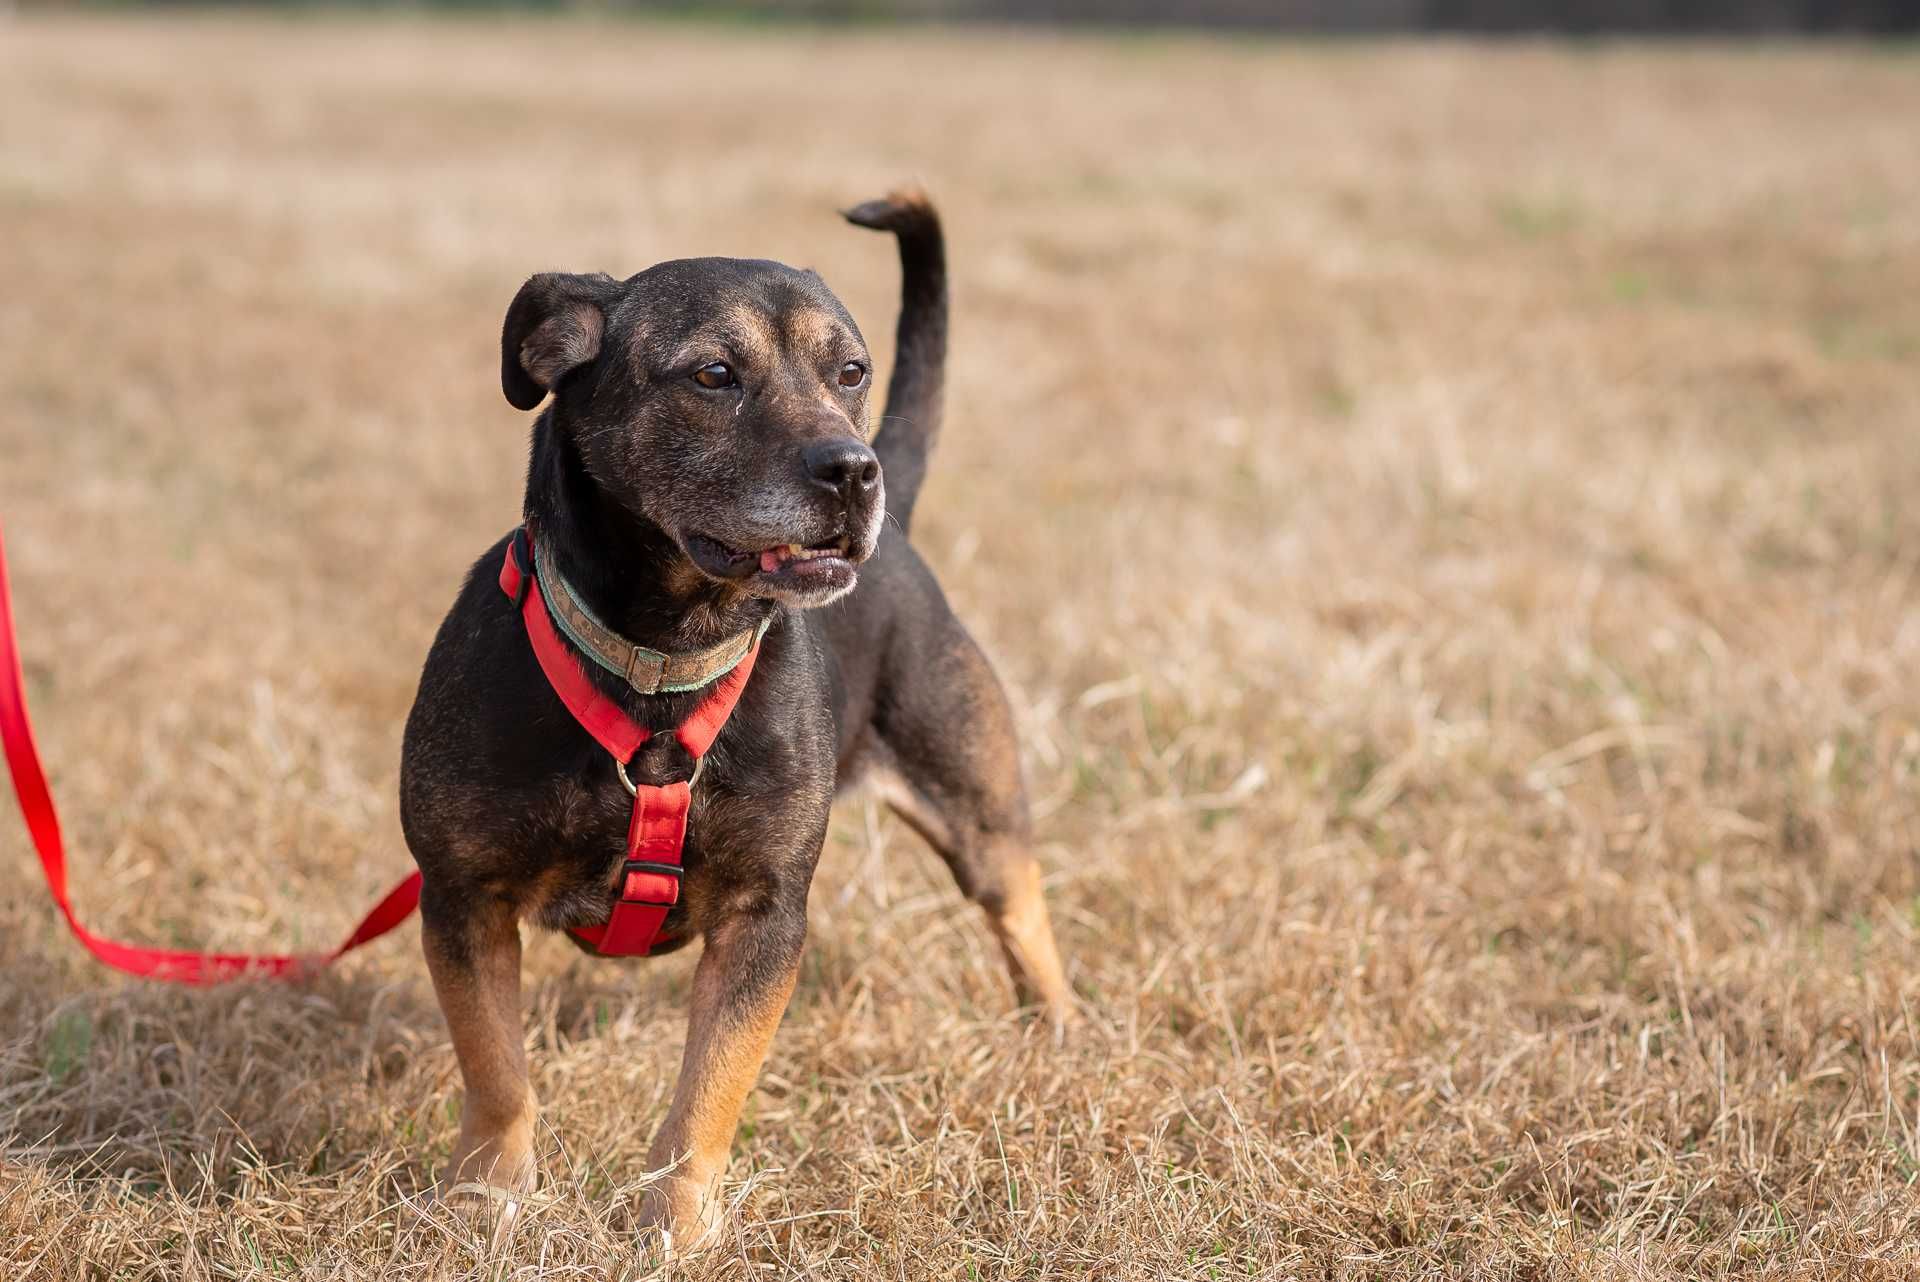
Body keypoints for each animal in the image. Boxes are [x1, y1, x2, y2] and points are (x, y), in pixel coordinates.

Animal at [397, 189, 1075, 1243]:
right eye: (714, 375)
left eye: (852, 372)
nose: (856, 471)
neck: (661, 662)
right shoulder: (465, 898)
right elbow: (498, 1069)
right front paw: (487, 1200)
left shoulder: (764, 919)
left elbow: (708, 1092)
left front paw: (675, 1226)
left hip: (977, 802)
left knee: (1023, 912)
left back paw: (1061, 1035)